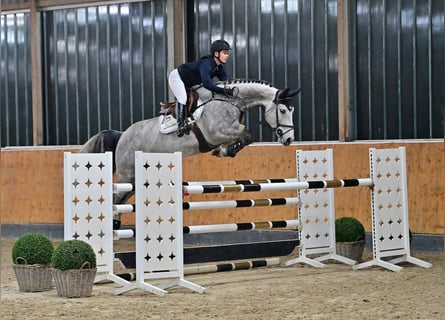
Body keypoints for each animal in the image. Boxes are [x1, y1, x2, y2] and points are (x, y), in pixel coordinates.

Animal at [80, 79, 300, 229]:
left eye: (292, 110)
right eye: (282, 110)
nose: (289, 139)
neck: (230, 101)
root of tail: (122, 135)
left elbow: (245, 135)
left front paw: (226, 150)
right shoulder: (216, 133)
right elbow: (247, 135)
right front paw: (224, 151)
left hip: (135, 180)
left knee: (120, 201)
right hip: (127, 175)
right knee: (115, 198)